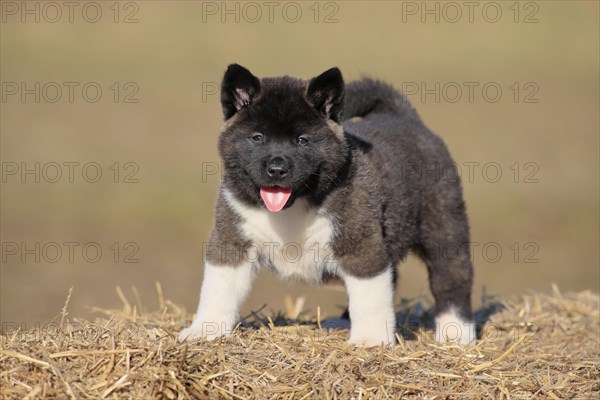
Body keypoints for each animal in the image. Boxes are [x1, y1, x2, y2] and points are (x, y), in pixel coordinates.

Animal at [178, 64, 474, 346]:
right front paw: (205, 330)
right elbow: (219, 288)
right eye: (257, 137)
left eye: (302, 140)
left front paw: (371, 339)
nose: (277, 169)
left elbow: (370, 295)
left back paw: (456, 332)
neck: (293, 207)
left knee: (451, 279)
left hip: (443, 225)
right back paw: (343, 321)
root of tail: (404, 115)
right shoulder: (232, 239)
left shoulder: (361, 246)